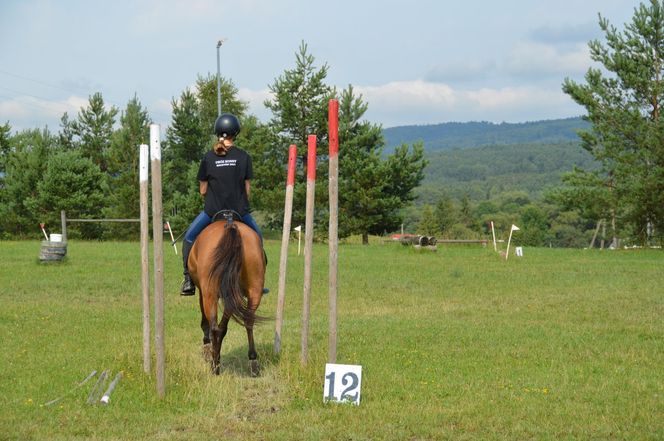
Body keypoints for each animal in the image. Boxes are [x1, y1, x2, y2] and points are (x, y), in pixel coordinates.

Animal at [187, 213, 264, 374]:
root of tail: (230, 225)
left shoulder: (202, 292)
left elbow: (204, 320)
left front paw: (206, 348)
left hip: (210, 293)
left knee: (214, 327)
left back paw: (214, 365)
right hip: (251, 290)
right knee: (245, 322)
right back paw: (252, 361)